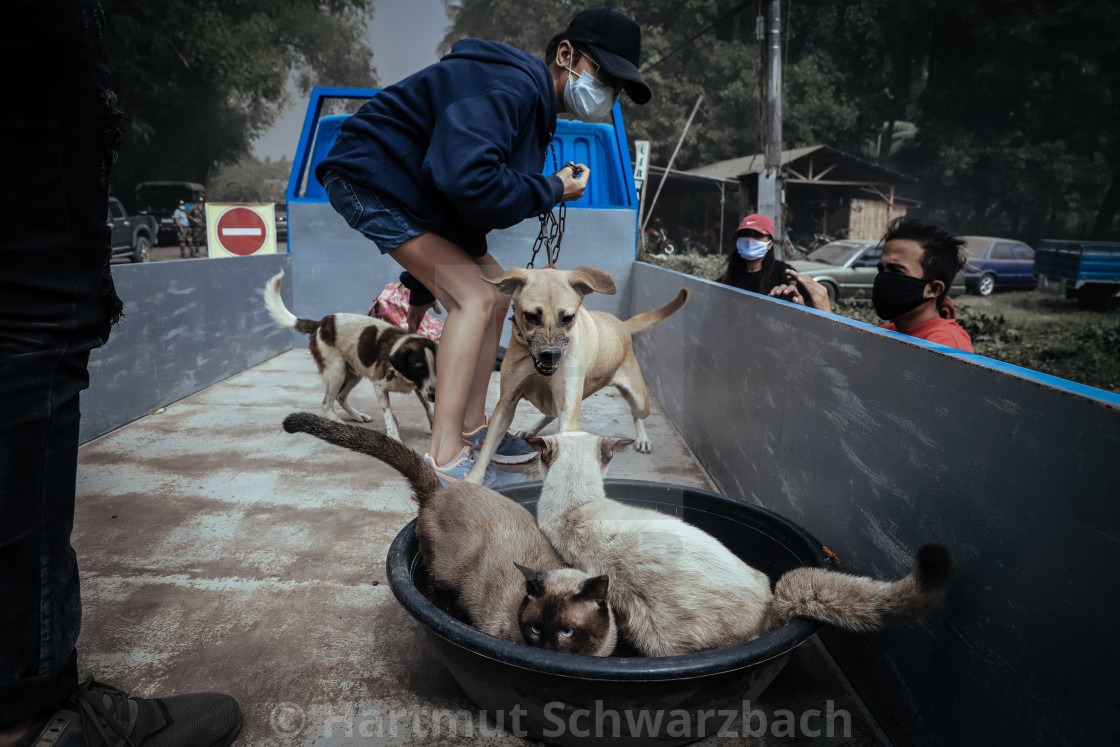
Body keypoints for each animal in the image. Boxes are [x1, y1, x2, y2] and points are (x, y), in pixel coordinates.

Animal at [263, 272, 436, 441]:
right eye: (418, 368)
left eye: (435, 369)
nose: (434, 395)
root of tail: (320, 324)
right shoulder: (380, 386)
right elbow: (389, 414)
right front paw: (393, 435)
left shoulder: (420, 389)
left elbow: (430, 409)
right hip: (337, 371)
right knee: (326, 404)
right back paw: (336, 422)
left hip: (354, 372)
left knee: (340, 397)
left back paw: (358, 416)